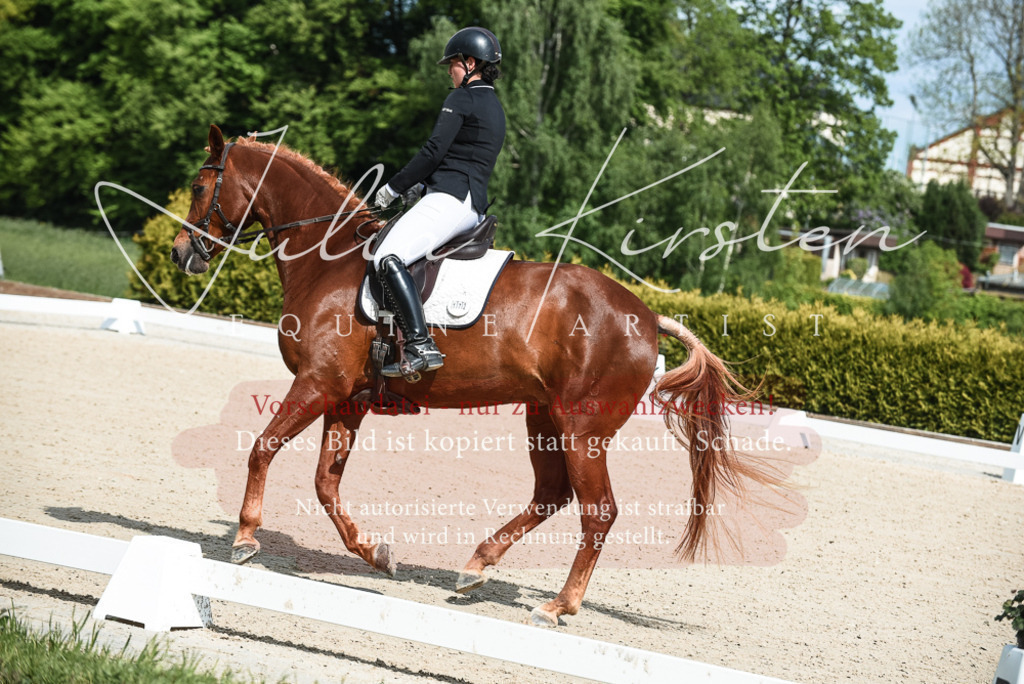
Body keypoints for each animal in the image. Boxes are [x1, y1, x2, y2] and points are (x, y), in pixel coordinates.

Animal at [170, 124, 780, 627]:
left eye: (199, 188)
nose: (180, 254)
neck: (331, 260)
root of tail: (649, 318)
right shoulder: (348, 398)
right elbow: (325, 482)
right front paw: (376, 554)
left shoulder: (319, 385)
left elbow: (262, 448)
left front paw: (245, 538)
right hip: (545, 417)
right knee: (551, 495)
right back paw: (476, 566)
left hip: (584, 428)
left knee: (598, 511)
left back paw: (558, 605)